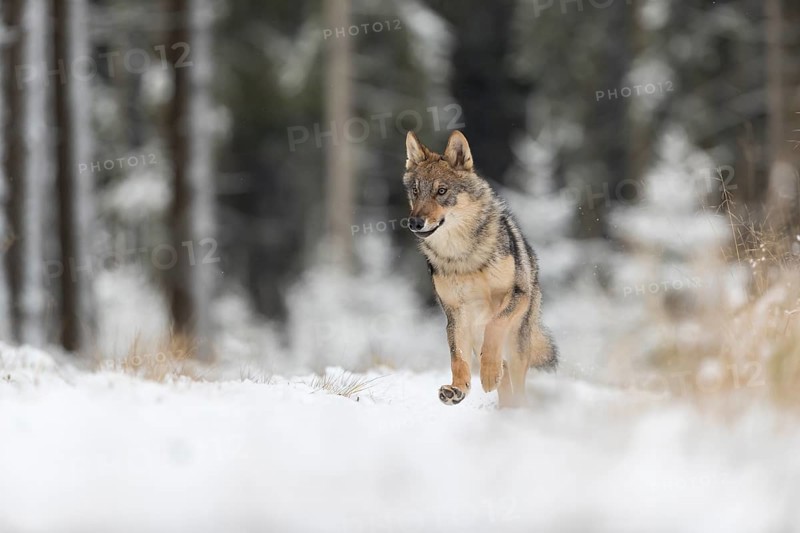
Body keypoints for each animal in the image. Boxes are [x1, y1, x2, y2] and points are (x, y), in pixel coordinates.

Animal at [403, 130, 557, 407]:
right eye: (416, 191)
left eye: (441, 191)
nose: (415, 222)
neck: (463, 256)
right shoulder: (455, 313)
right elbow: (457, 356)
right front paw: (458, 388)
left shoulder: (516, 295)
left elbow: (494, 326)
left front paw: (488, 373)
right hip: (475, 333)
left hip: (517, 343)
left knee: (515, 380)